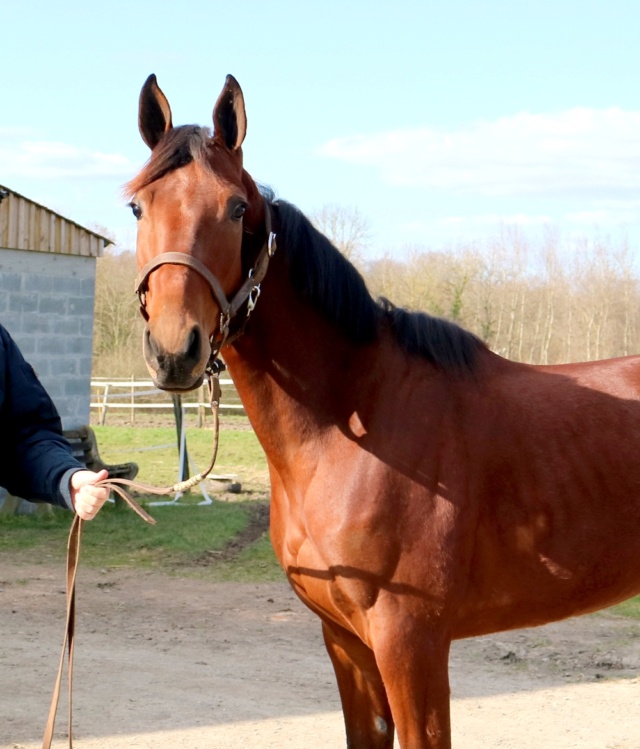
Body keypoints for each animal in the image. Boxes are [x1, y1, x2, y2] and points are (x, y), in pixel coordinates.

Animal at [127, 73, 640, 744]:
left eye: (236, 208)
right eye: (138, 207)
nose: (174, 348)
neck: (352, 425)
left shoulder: (410, 642)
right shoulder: (346, 642)